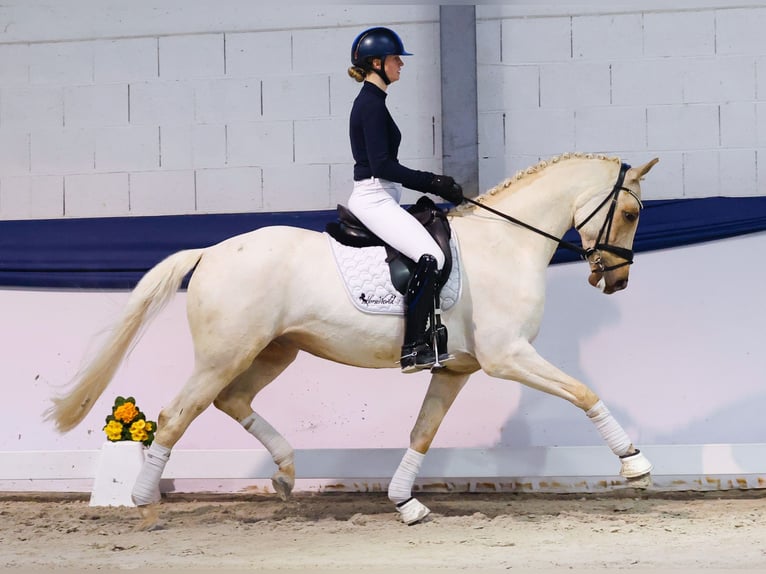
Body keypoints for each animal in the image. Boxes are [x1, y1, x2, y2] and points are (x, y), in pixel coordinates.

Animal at [47, 152, 659, 527]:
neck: (506, 243)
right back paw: (144, 504)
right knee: (177, 414)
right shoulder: (508, 357)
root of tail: (212, 252)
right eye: (630, 212)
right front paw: (634, 465)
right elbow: (582, 391)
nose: (617, 280)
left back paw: (286, 474)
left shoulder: (455, 368)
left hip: (274, 351)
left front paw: (405, 503)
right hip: (226, 354)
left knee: (232, 400)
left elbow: (423, 431)